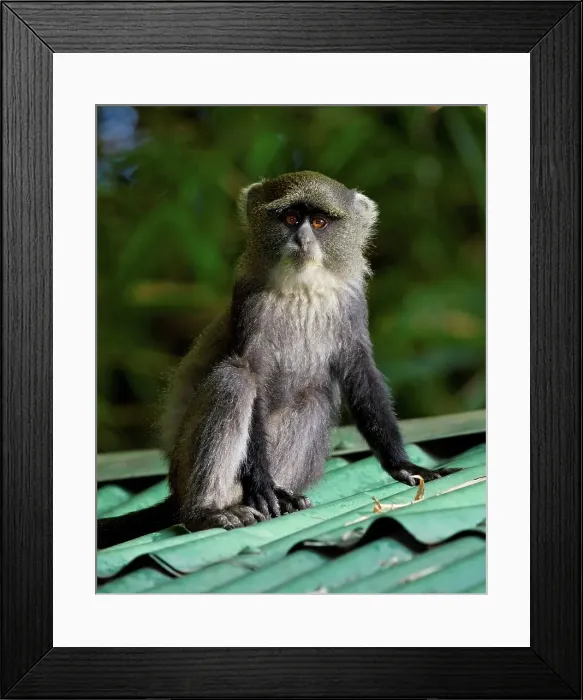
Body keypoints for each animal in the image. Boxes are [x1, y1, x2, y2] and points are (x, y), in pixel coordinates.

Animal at [97, 171, 459, 549]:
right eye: (290, 219)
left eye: (319, 222)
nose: (302, 238)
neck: (303, 288)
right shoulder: (249, 301)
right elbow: (251, 374)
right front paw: (260, 485)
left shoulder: (352, 304)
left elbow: (361, 374)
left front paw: (404, 466)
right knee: (233, 379)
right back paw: (209, 512)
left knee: (315, 398)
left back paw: (283, 494)